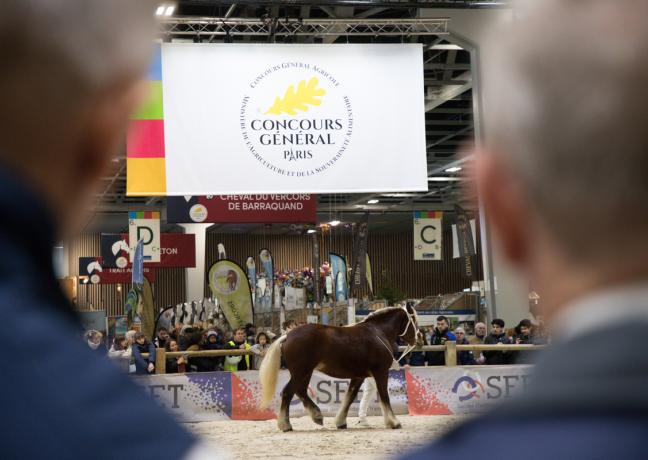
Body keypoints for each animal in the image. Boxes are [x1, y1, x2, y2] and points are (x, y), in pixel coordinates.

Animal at [258, 306, 420, 432]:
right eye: (414, 320)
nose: (418, 340)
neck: (377, 332)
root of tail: (287, 335)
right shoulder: (380, 372)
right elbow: (384, 396)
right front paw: (394, 422)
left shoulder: (359, 376)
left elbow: (350, 397)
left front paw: (341, 422)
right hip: (301, 372)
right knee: (288, 392)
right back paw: (286, 425)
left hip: (305, 373)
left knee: (301, 391)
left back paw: (317, 416)